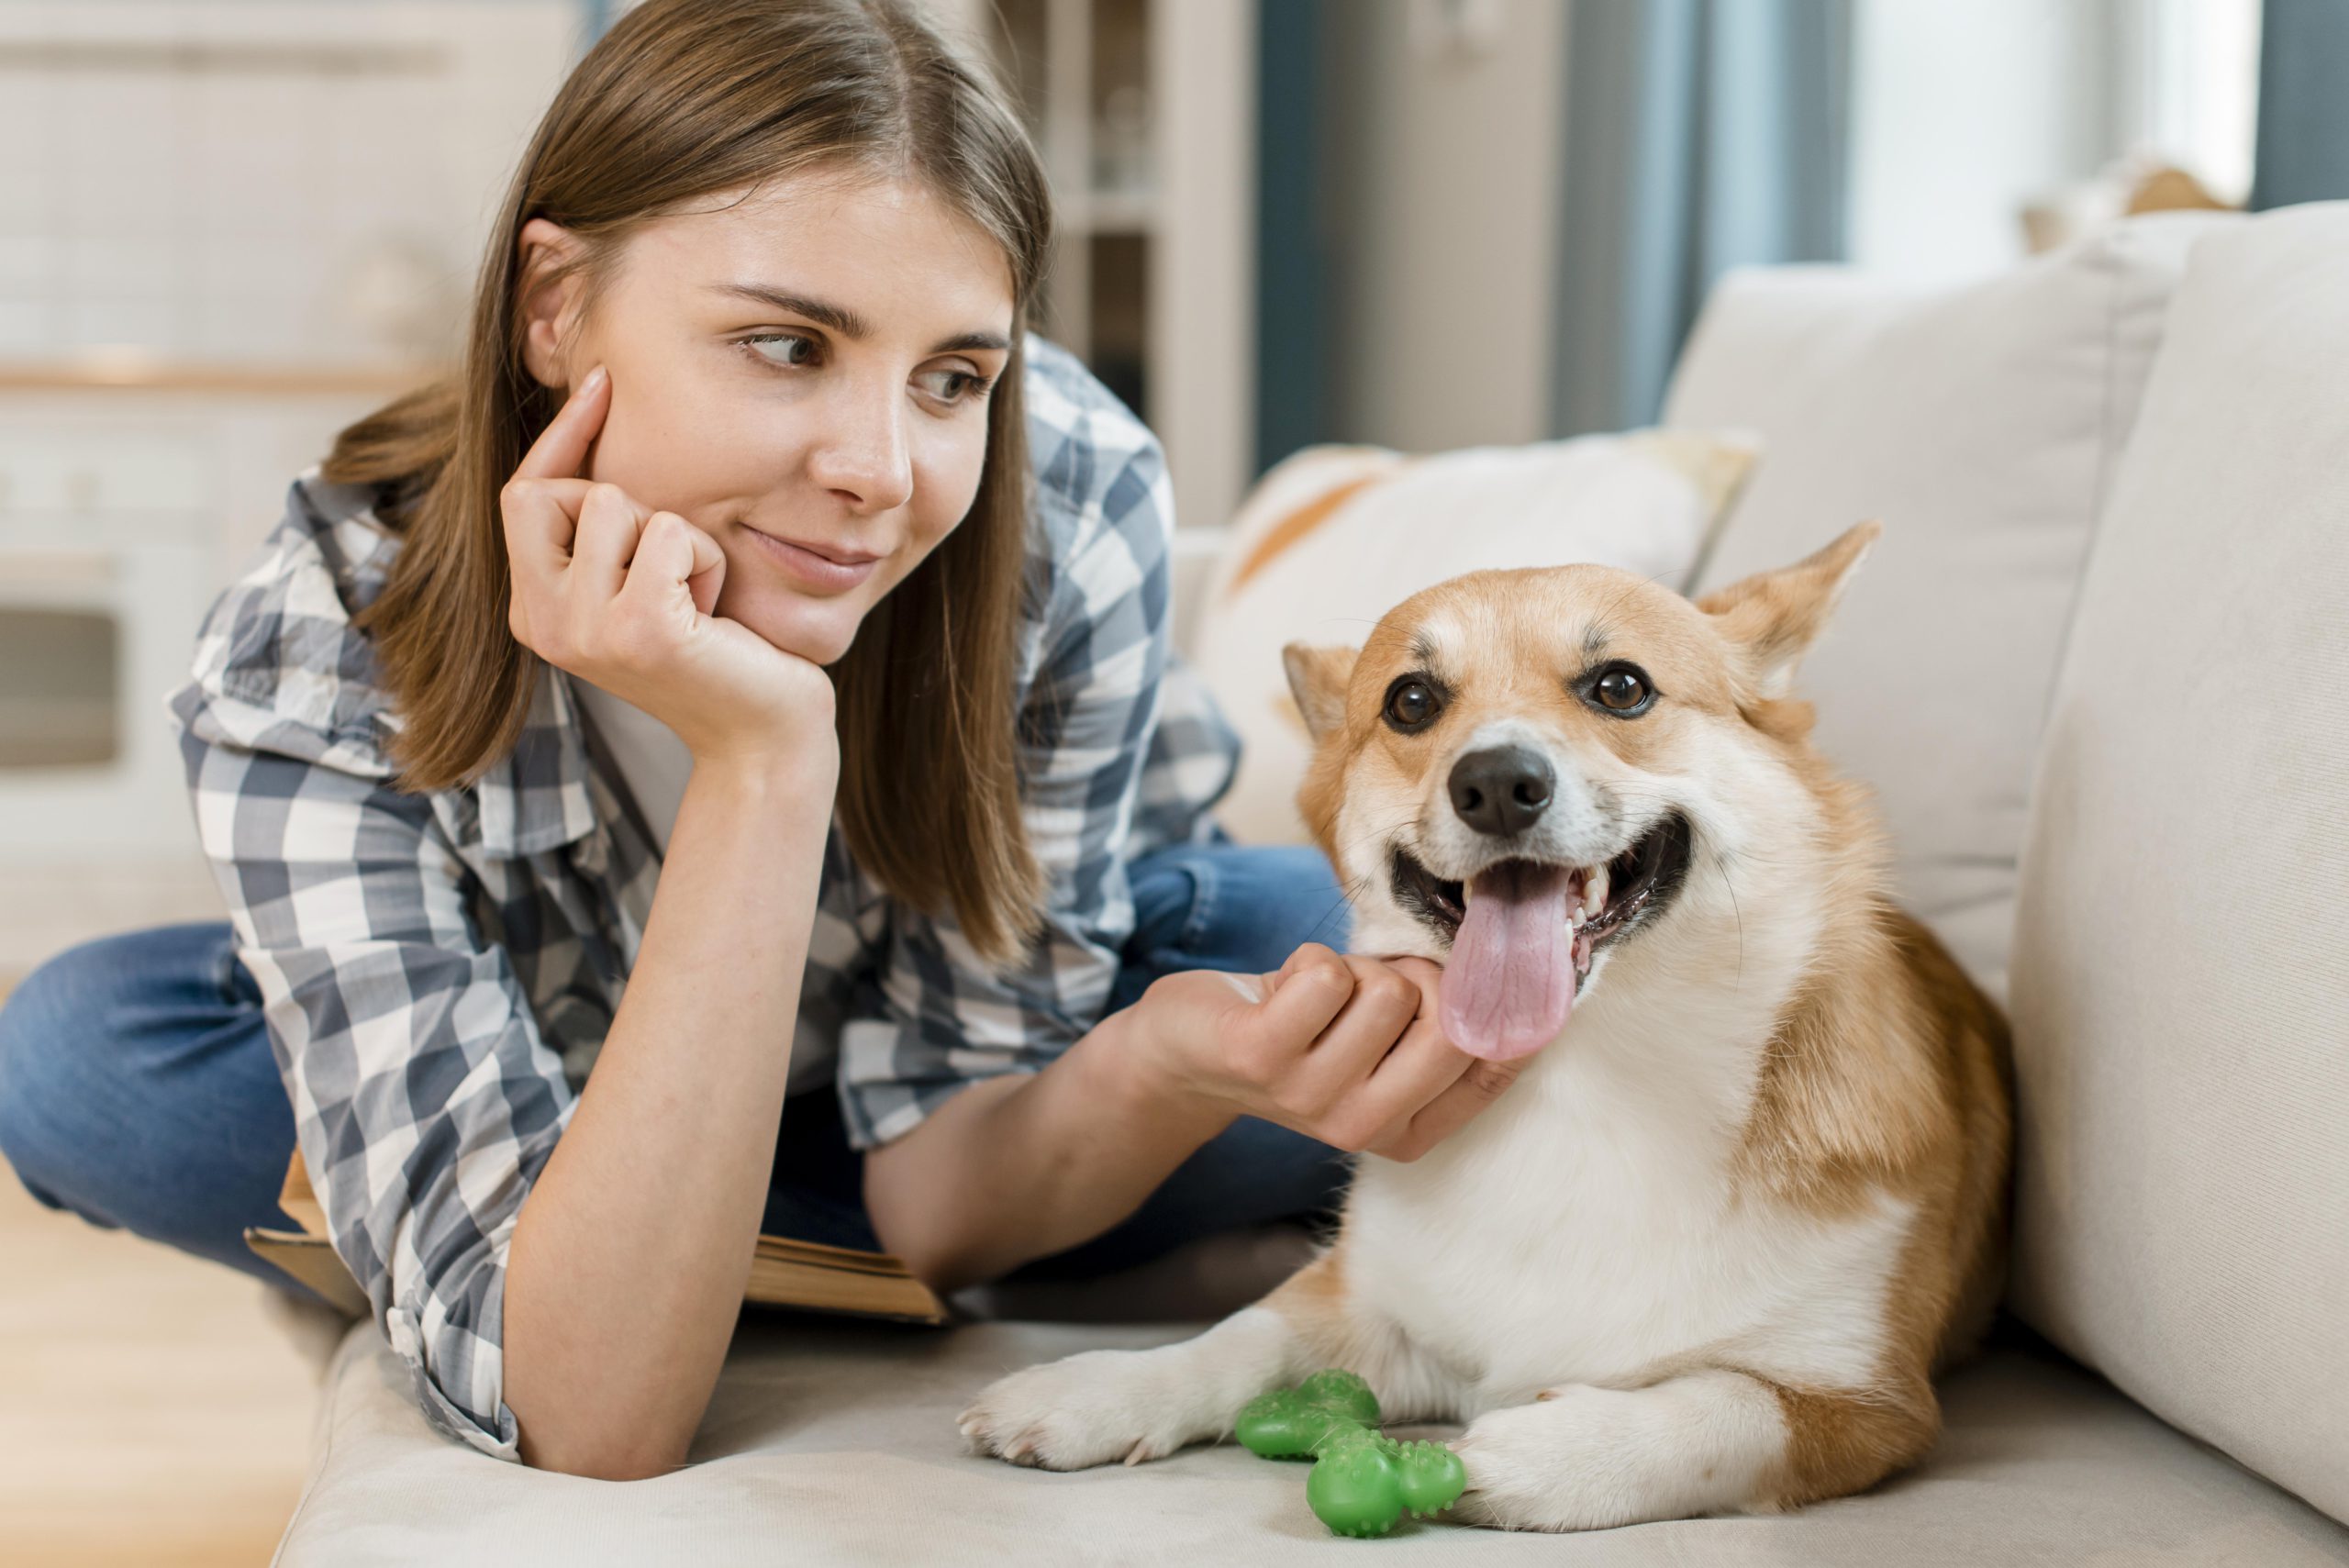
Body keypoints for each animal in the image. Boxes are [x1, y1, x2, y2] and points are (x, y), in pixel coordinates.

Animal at [963, 526, 2010, 1530]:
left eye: (1621, 686)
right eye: (1411, 701)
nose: (1498, 784)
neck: (1585, 1084)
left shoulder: (1862, 1402)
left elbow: (1717, 1408)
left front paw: (1541, 1455)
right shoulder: (1364, 1309)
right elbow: (1239, 1337)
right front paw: (1098, 1387)